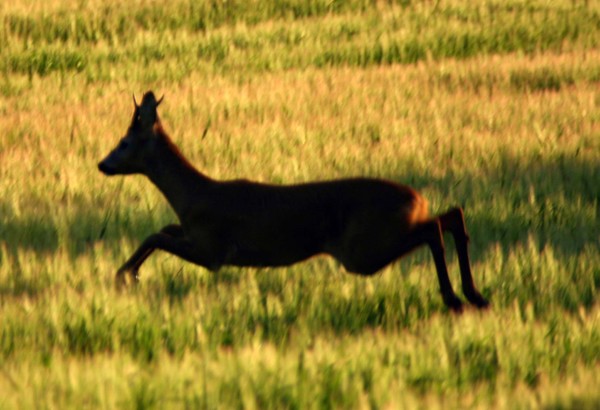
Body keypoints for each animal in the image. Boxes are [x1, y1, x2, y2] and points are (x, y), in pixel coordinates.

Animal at [98, 92, 490, 310]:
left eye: (123, 143)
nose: (102, 164)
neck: (192, 196)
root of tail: (417, 198)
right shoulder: (194, 233)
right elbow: (162, 228)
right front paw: (128, 272)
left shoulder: (213, 249)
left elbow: (157, 235)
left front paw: (124, 274)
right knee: (451, 215)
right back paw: (475, 295)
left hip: (363, 249)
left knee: (434, 227)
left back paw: (455, 298)